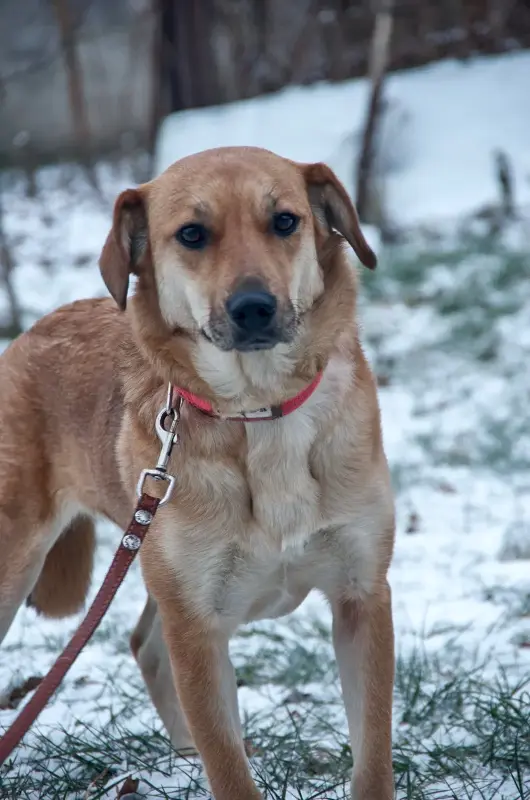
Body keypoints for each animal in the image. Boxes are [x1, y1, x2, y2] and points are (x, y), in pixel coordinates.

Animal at [0, 147, 392, 796]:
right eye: (191, 234)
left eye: (285, 221)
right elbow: (230, 772)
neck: (258, 413)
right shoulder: (197, 628)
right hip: (22, 565)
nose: (254, 307)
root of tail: (26, 335)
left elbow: (373, 758)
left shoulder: (362, 598)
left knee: (145, 644)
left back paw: (183, 755)